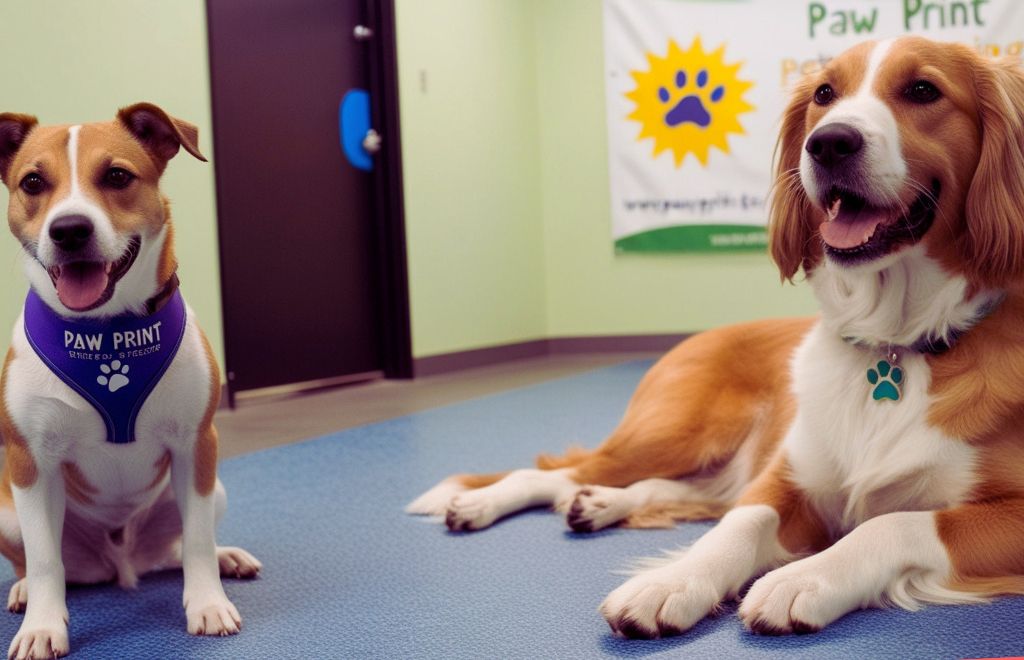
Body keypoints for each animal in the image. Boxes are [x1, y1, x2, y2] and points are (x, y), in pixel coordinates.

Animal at [0, 105, 260, 654]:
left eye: (117, 176)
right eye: (33, 182)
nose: (69, 229)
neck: (107, 332)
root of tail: (121, 563)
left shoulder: (195, 444)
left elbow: (197, 541)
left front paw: (208, 603)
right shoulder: (30, 460)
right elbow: (44, 558)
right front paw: (41, 626)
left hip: (212, 488)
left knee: (182, 546)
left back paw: (225, 557)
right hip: (7, 508)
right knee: (38, 561)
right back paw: (24, 590)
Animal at [405, 34, 1024, 634]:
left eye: (922, 90)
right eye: (824, 94)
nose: (827, 143)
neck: (894, 343)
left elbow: (896, 522)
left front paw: (805, 577)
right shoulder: (785, 479)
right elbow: (740, 523)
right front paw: (672, 582)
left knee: (661, 489)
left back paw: (598, 504)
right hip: (680, 431)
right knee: (556, 472)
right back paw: (485, 503)